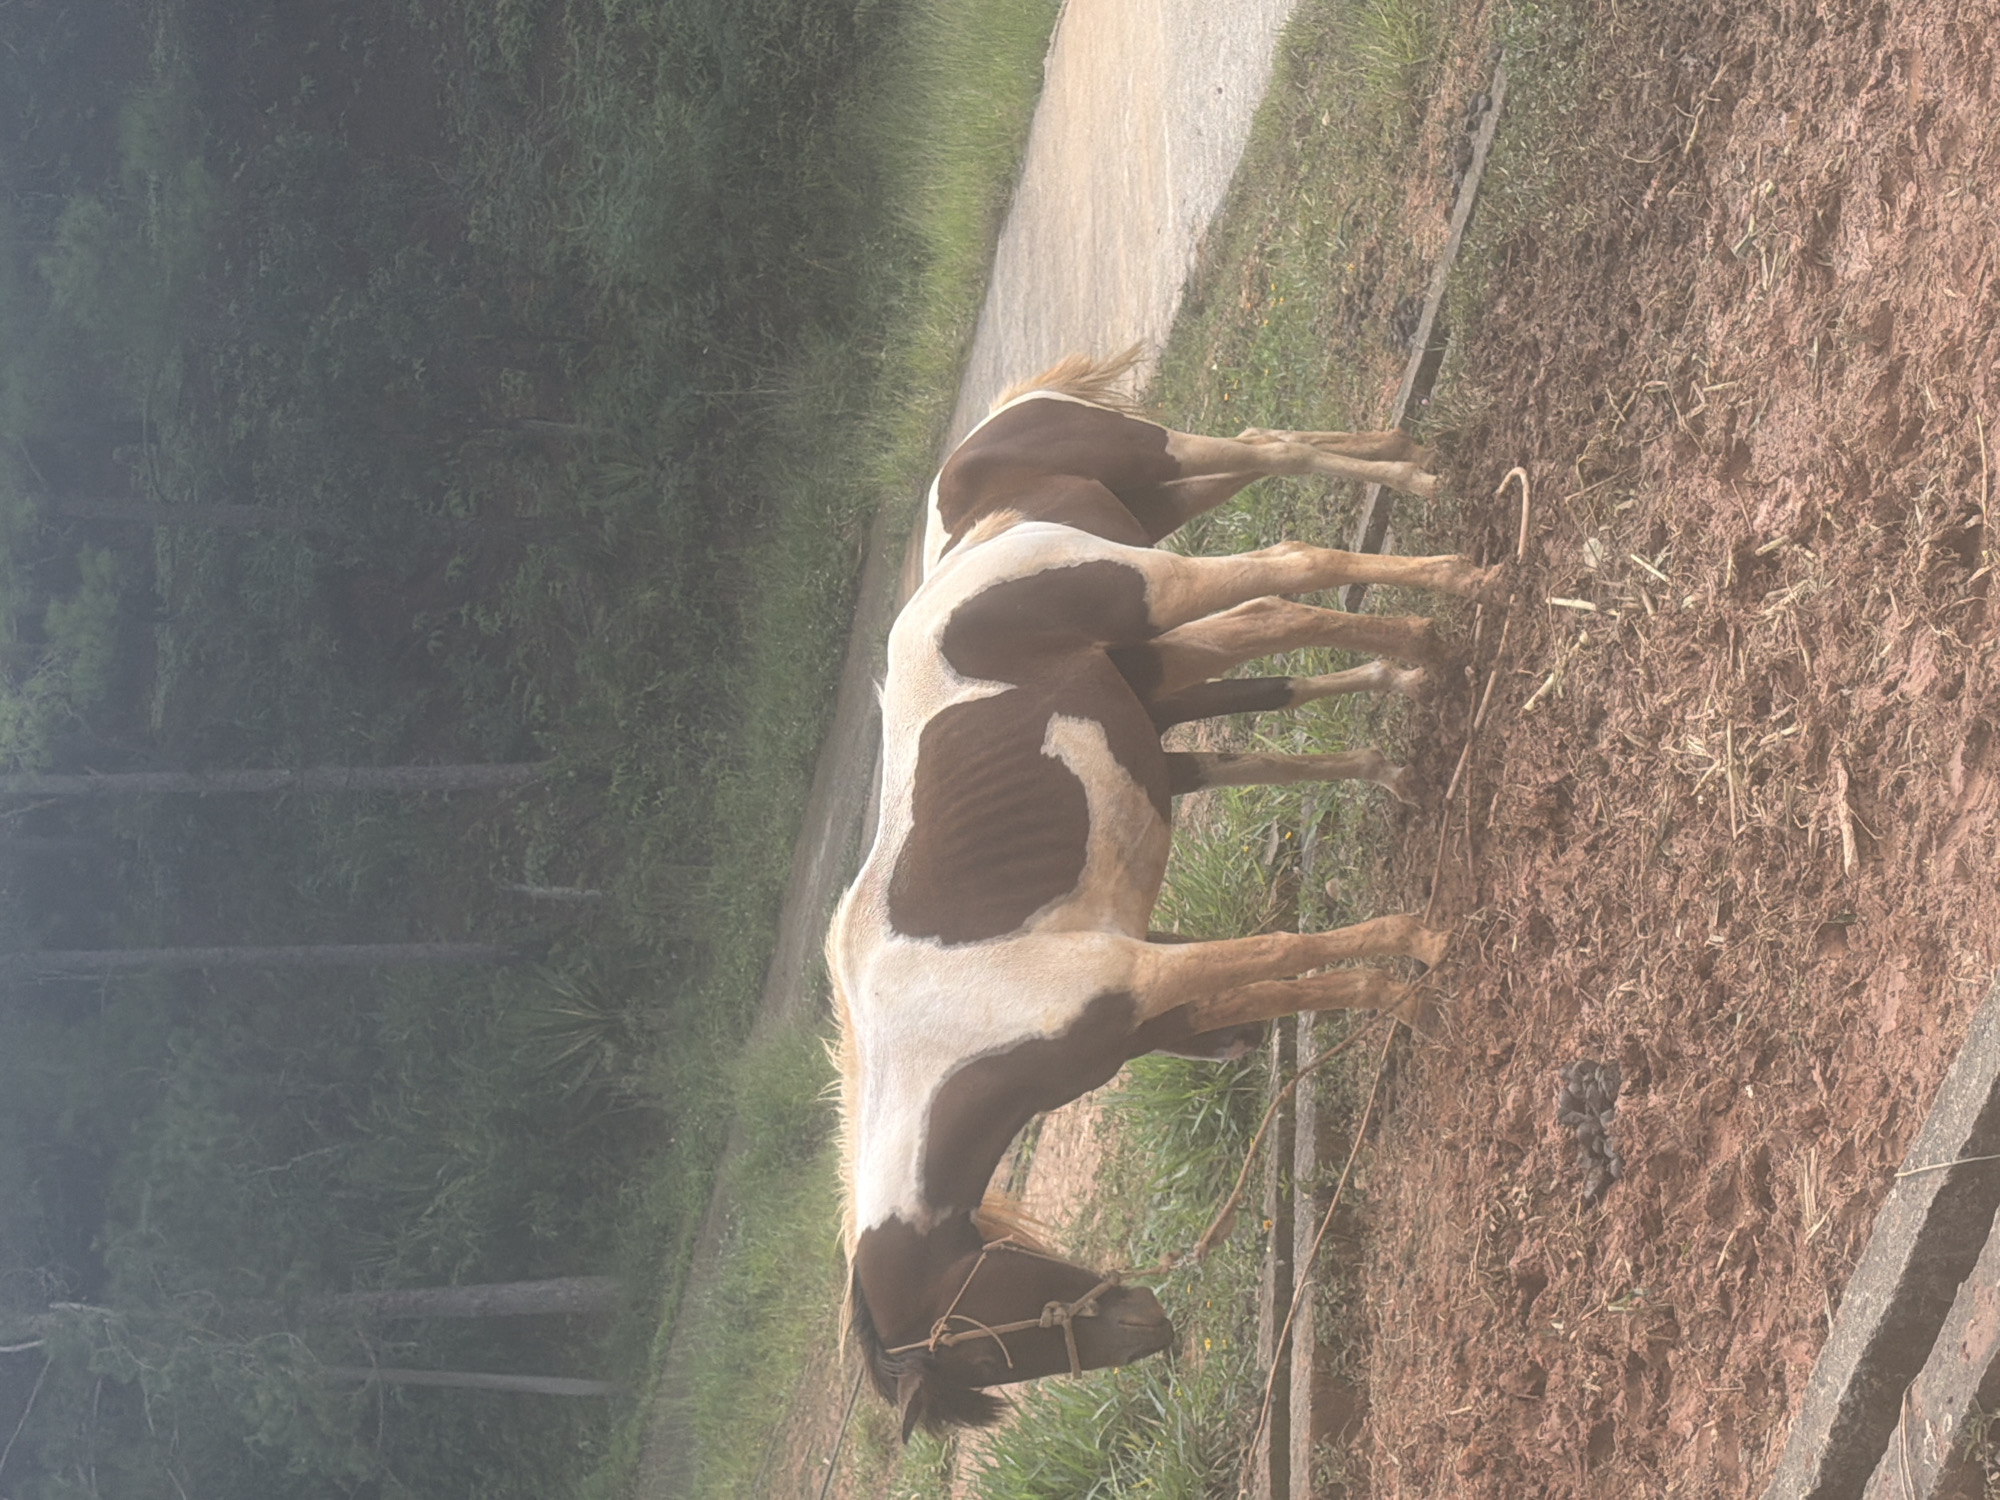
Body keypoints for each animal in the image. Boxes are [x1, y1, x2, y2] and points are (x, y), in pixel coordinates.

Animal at [828, 353, 1502, 1439]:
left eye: (979, 1343)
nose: (1150, 1329)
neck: (936, 1037)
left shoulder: (1136, 972)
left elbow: (1281, 953)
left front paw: (1425, 949)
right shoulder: (1156, 1001)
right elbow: (1279, 986)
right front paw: (1397, 999)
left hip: (1156, 553)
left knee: (1283, 550)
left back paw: (1445, 572)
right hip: (1166, 514)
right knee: (1270, 484)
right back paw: (1416, 531)